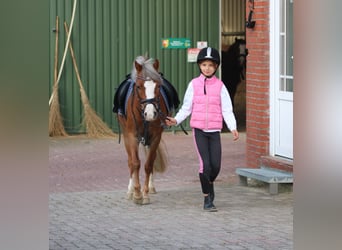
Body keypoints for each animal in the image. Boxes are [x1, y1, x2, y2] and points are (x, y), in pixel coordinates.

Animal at [117, 55, 171, 204]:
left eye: (158, 86)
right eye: (139, 86)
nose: (150, 113)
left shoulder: (155, 137)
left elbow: (148, 164)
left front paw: (145, 193)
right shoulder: (132, 136)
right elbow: (135, 163)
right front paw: (136, 194)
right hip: (126, 136)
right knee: (130, 162)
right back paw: (130, 191)